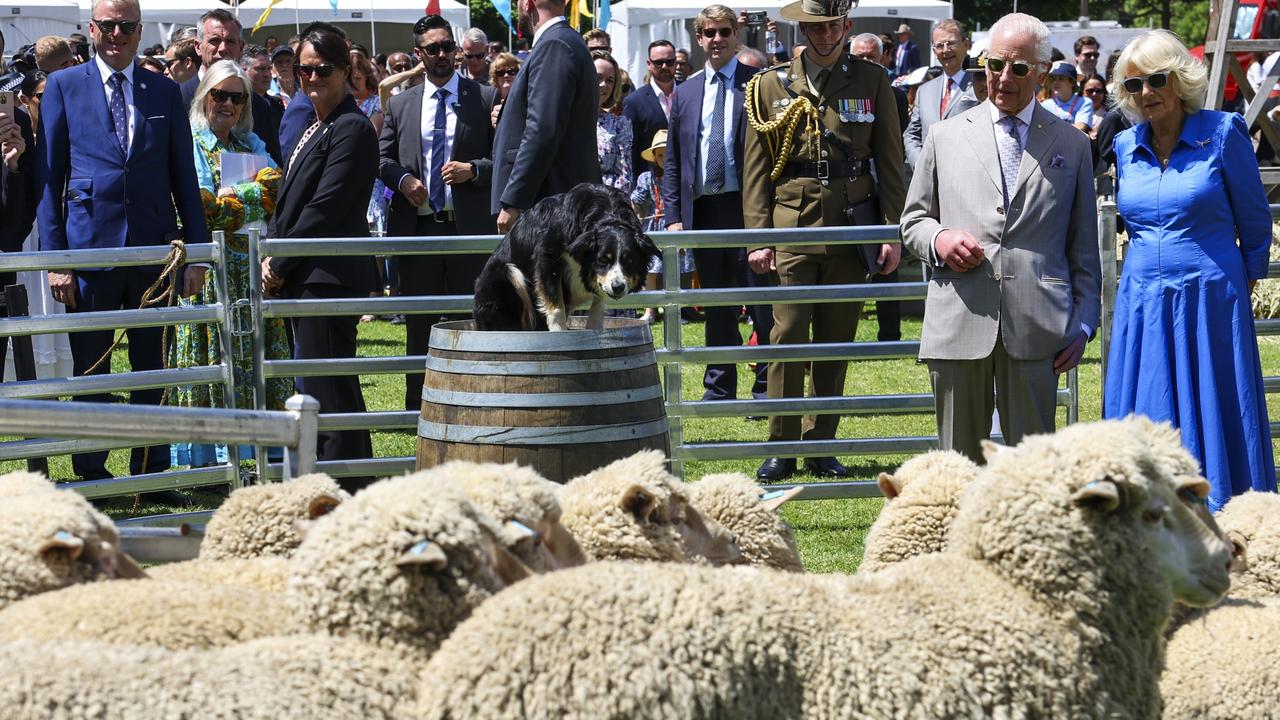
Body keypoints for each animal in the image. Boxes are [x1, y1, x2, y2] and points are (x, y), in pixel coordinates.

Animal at [478, 183, 660, 333]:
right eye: (602, 259)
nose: (618, 287)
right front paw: (560, 333)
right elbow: (556, 305)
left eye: (629, 260)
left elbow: (598, 304)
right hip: (506, 274)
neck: (607, 215)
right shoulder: (546, 256)